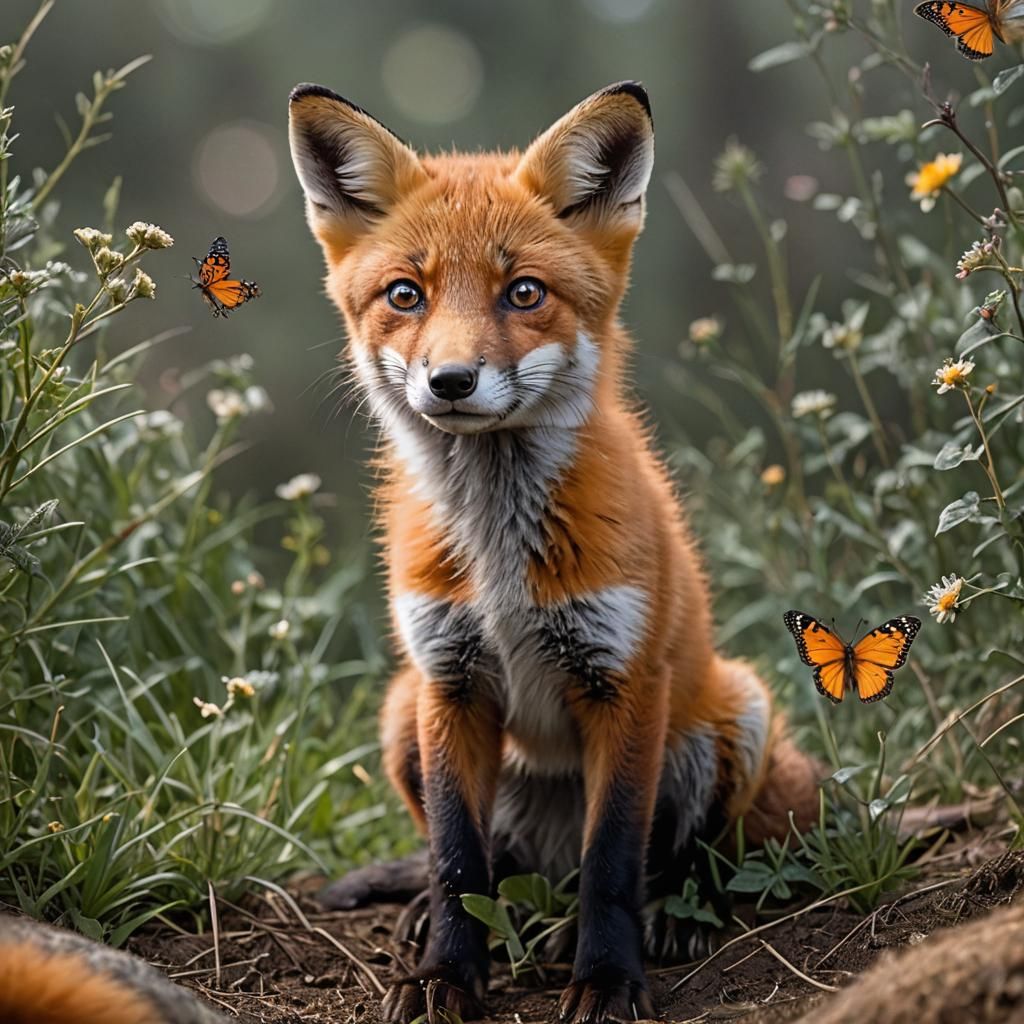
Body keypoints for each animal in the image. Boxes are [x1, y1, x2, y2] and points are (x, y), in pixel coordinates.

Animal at [287, 81, 820, 1023]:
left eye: (524, 292)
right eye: (405, 294)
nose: (450, 382)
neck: (499, 554)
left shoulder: (624, 684)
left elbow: (613, 859)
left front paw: (606, 979)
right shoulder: (449, 679)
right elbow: (457, 860)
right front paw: (446, 975)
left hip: (737, 712)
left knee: (682, 860)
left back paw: (670, 914)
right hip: (398, 711)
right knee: (492, 869)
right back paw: (439, 915)